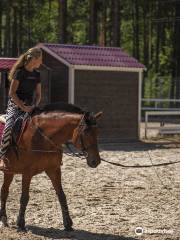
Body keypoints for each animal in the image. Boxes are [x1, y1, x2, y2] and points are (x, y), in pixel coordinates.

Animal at [0, 102, 102, 232]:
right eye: (86, 132)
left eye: (97, 132)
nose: (96, 161)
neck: (43, 138)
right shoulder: (27, 173)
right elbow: (24, 197)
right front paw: (21, 224)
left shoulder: (54, 170)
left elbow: (62, 195)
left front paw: (68, 223)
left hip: (9, 171)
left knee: (4, 191)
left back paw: (3, 219)